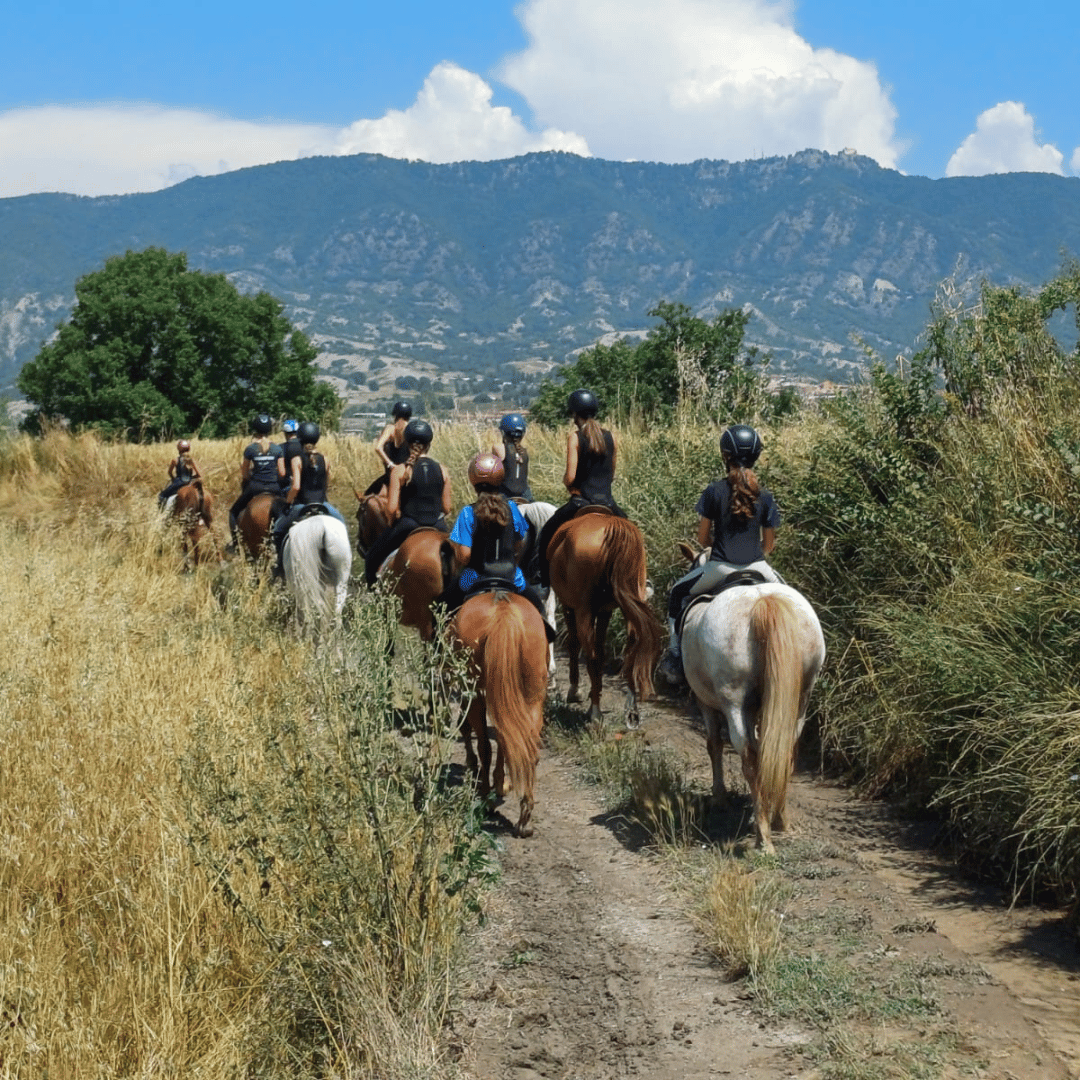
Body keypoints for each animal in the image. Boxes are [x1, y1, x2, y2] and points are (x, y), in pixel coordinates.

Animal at [451, 590, 547, 837]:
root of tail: (504, 611)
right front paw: (501, 783)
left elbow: (467, 729)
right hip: (532, 695)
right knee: (525, 747)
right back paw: (524, 819)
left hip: (476, 693)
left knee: (485, 746)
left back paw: (486, 799)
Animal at [548, 511, 663, 726]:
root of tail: (614, 527)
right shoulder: (605, 611)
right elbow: (601, 650)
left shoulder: (569, 606)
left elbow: (574, 645)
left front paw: (575, 691)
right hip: (630, 602)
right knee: (631, 646)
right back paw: (631, 709)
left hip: (583, 611)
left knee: (590, 655)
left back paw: (595, 712)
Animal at [681, 582, 825, 854]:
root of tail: (763, 601)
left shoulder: (705, 702)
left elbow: (714, 744)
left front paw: (719, 797)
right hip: (801, 697)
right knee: (784, 751)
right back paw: (779, 820)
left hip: (734, 702)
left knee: (749, 756)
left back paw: (763, 838)